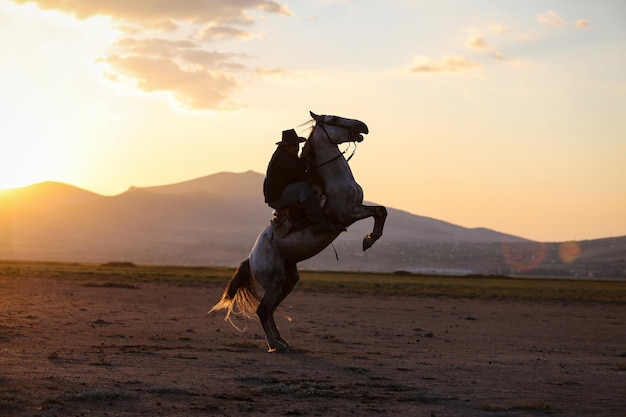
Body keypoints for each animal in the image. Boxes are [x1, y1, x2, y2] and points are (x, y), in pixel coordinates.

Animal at [210, 111, 386, 352]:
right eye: (334, 118)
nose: (363, 126)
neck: (334, 180)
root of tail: (251, 257)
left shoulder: (356, 209)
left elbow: (381, 211)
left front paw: (370, 239)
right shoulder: (349, 213)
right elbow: (379, 211)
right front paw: (369, 240)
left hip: (288, 279)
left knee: (270, 310)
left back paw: (282, 341)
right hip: (274, 281)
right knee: (263, 310)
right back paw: (275, 344)